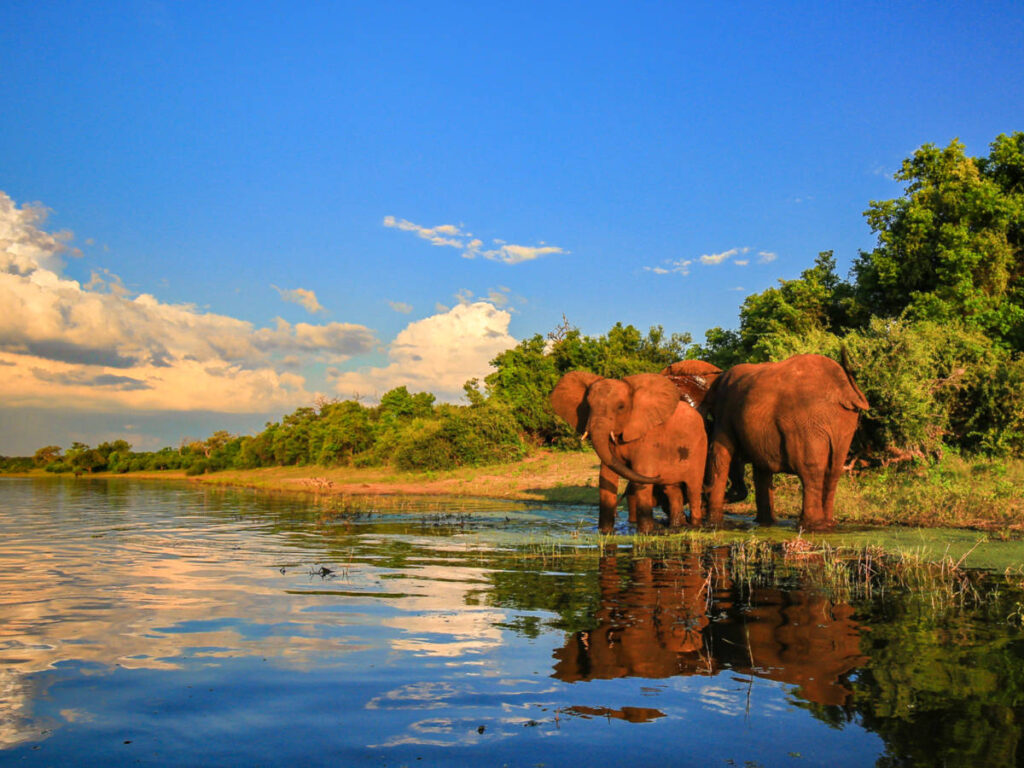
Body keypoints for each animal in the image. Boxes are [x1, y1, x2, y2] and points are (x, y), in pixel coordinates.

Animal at [550, 371, 707, 533]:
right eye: (588, 405)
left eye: (620, 407)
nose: (659, 474)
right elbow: (606, 475)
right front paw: (605, 533)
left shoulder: (648, 437)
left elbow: (642, 472)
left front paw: (646, 533)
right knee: (672, 489)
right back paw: (677, 526)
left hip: (699, 447)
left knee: (692, 489)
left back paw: (695, 526)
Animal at [704, 352, 869, 531]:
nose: (728, 496)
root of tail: (843, 389)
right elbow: (761, 468)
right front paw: (765, 524)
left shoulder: (724, 410)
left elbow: (720, 454)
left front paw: (713, 524)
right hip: (842, 422)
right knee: (834, 469)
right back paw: (827, 525)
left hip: (806, 421)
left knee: (810, 470)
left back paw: (811, 526)